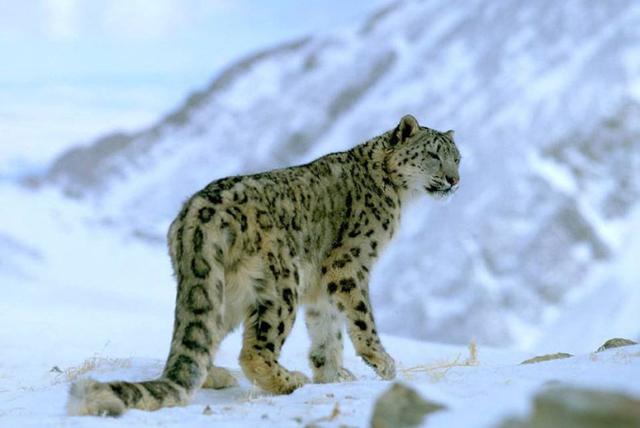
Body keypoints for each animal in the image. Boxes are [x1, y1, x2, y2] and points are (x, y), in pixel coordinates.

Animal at [67, 113, 460, 414]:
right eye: (433, 155)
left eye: (457, 157)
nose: (455, 180)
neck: (398, 196)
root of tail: (196, 214)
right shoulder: (349, 264)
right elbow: (361, 317)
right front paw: (383, 363)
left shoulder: (320, 284)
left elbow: (326, 328)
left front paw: (332, 373)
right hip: (281, 283)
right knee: (255, 350)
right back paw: (289, 380)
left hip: (222, 290)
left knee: (201, 339)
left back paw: (217, 375)